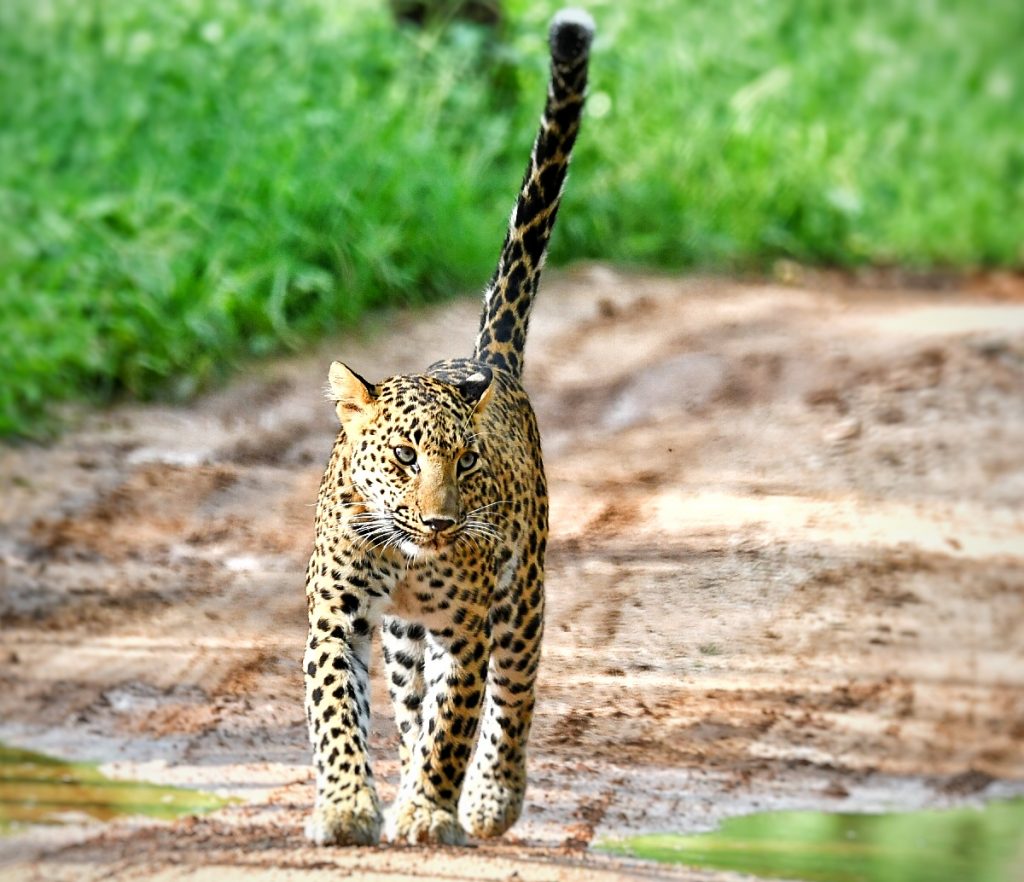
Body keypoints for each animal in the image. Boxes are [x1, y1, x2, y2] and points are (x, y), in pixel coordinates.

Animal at [299, 6, 598, 848]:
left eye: (465, 463)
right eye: (404, 455)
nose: (438, 522)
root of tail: (484, 358)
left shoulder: (466, 628)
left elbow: (457, 723)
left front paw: (432, 810)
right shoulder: (337, 621)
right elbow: (340, 716)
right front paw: (348, 806)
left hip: (521, 597)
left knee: (512, 696)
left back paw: (492, 797)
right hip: (405, 639)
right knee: (407, 705)